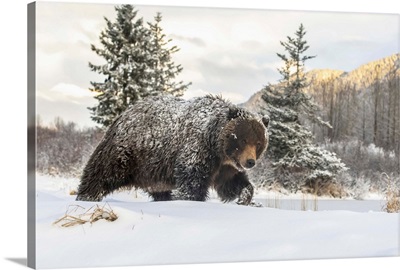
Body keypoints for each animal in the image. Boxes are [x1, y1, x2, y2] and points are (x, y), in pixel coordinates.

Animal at [75, 94, 268, 205]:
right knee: (102, 173)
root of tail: (122, 115)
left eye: (259, 143)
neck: (217, 146)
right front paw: (186, 198)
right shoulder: (198, 150)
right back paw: (87, 196)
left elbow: (232, 184)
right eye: (243, 139)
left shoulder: (225, 167)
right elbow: (191, 183)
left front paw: (244, 197)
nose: (250, 162)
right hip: (127, 152)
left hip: (152, 173)